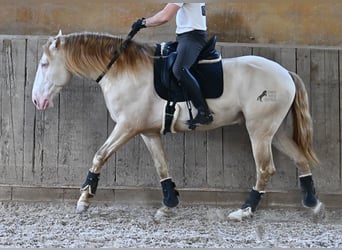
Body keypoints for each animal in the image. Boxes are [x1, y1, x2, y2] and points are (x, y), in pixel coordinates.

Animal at [32, 31, 324, 221]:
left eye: (45, 64)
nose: (37, 100)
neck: (122, 71)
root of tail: (285, 73)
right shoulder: (147, 132)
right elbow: (162, 166)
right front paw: (168, 204)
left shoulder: (126, 127)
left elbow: (100, 155)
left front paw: (84, 200)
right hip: (276, 132)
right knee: (300, 159)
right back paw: (313, 204)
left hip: (259, 131)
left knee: (265, 168)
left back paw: (245, 210)